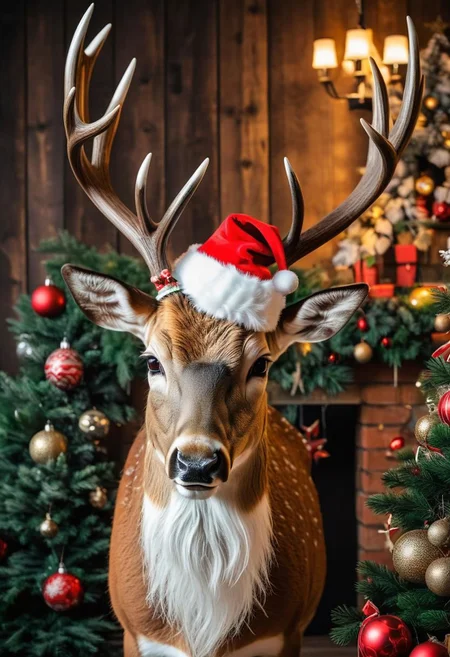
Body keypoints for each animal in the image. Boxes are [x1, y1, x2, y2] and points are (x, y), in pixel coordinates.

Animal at [61, 6, 422, 657]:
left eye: (262, 363)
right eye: (151, 360)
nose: (196, 463)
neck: (202, 631)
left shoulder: (286, 631)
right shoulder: (133, 630)